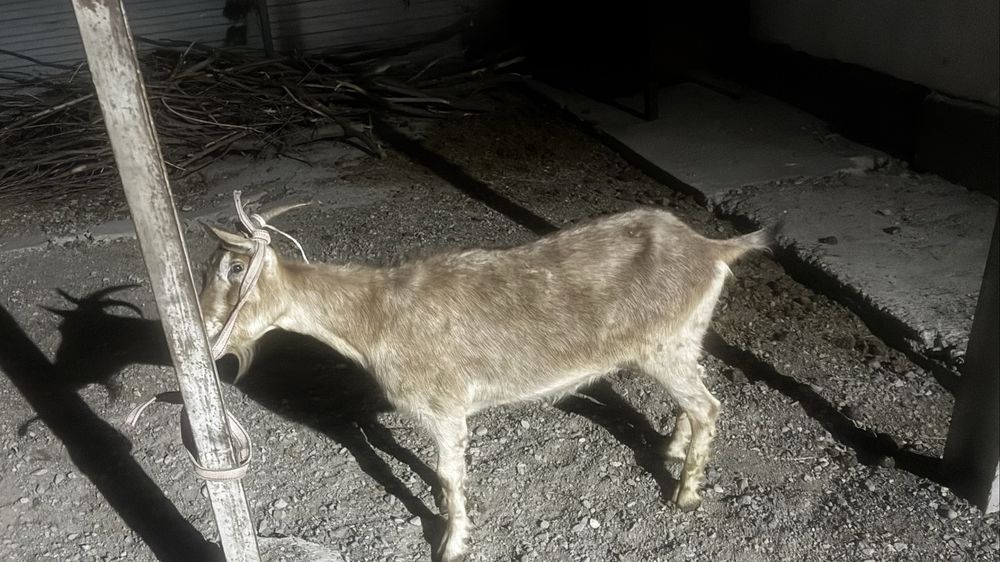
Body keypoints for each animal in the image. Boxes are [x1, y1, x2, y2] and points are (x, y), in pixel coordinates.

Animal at [199, 205, 769, 561]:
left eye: (234, 268)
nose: (203, 333)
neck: (373, 318)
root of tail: (712, 250)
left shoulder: (444, 406)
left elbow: (451, 477)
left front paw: (451, 544)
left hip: (663, 347)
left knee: (709, 407)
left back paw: (686, 495)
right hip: (683, 340)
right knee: (696, 399)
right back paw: (671, 449)